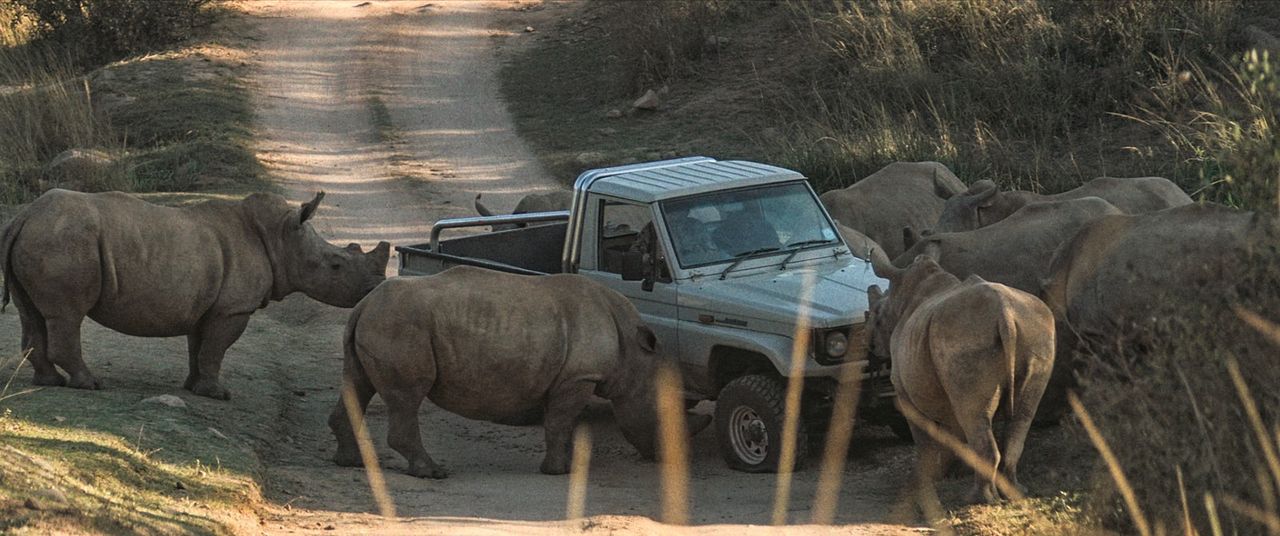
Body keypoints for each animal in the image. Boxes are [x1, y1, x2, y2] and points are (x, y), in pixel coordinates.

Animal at [1, 190, 389, 401]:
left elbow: (200, 347)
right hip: (63, 242)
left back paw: (50, 381)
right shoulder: (233, 309)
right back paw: (91, 384)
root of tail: (23, 217)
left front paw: (193, 387)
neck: (280, 237)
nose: (374, 288)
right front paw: (218, 394)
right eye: (336, 265)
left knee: (31, 313)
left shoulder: (208, 305)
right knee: (67, 314)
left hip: (43, 238)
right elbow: (216, 349)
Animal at [325, 267, 706, 478]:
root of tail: (363, 304)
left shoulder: (567, 377)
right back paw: (433, 473)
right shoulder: (579, 376)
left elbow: (561, 423)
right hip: (400, 325)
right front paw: (560, 471)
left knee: (357, 385)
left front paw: (566, 463)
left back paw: (349, 462)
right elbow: (559, 422)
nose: (673, 456)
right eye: (662, 414)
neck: (634, 356)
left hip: (378, 324)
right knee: (406, 397)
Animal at [865, 252, 1054, 511]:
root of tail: (1005, 313)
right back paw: (1016, 492)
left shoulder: (904, 391)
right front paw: (951, 473)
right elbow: (955, 432)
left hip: (963, 336)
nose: (871, 347)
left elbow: (924, 437)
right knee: (1021, 414)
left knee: (974, 415)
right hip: (1036, 330)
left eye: (876, 319)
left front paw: (926, 479)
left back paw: (978, 499)